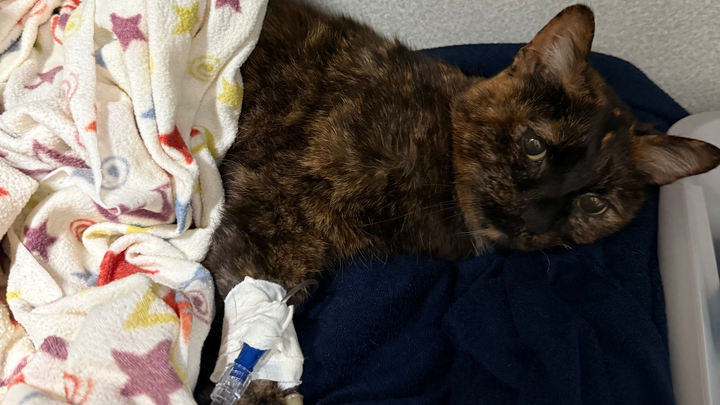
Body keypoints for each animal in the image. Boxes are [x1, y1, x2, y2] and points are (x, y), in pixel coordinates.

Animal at [198, 0, 720, 403]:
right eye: (534, 145)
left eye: (593, 204)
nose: (536, 217)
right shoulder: (270, 210)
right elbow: (254, 318)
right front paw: (261, 392)